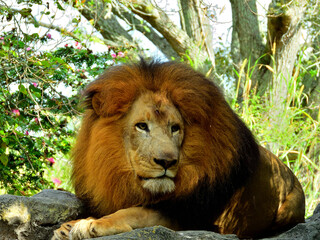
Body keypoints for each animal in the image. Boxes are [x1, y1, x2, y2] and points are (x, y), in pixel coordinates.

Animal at [52, 59, 304, 239]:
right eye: (141, 126)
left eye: (175, 128)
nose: (167, 162)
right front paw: (69, 226)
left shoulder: (189, 217)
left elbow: (136, 212)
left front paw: (90, 224)